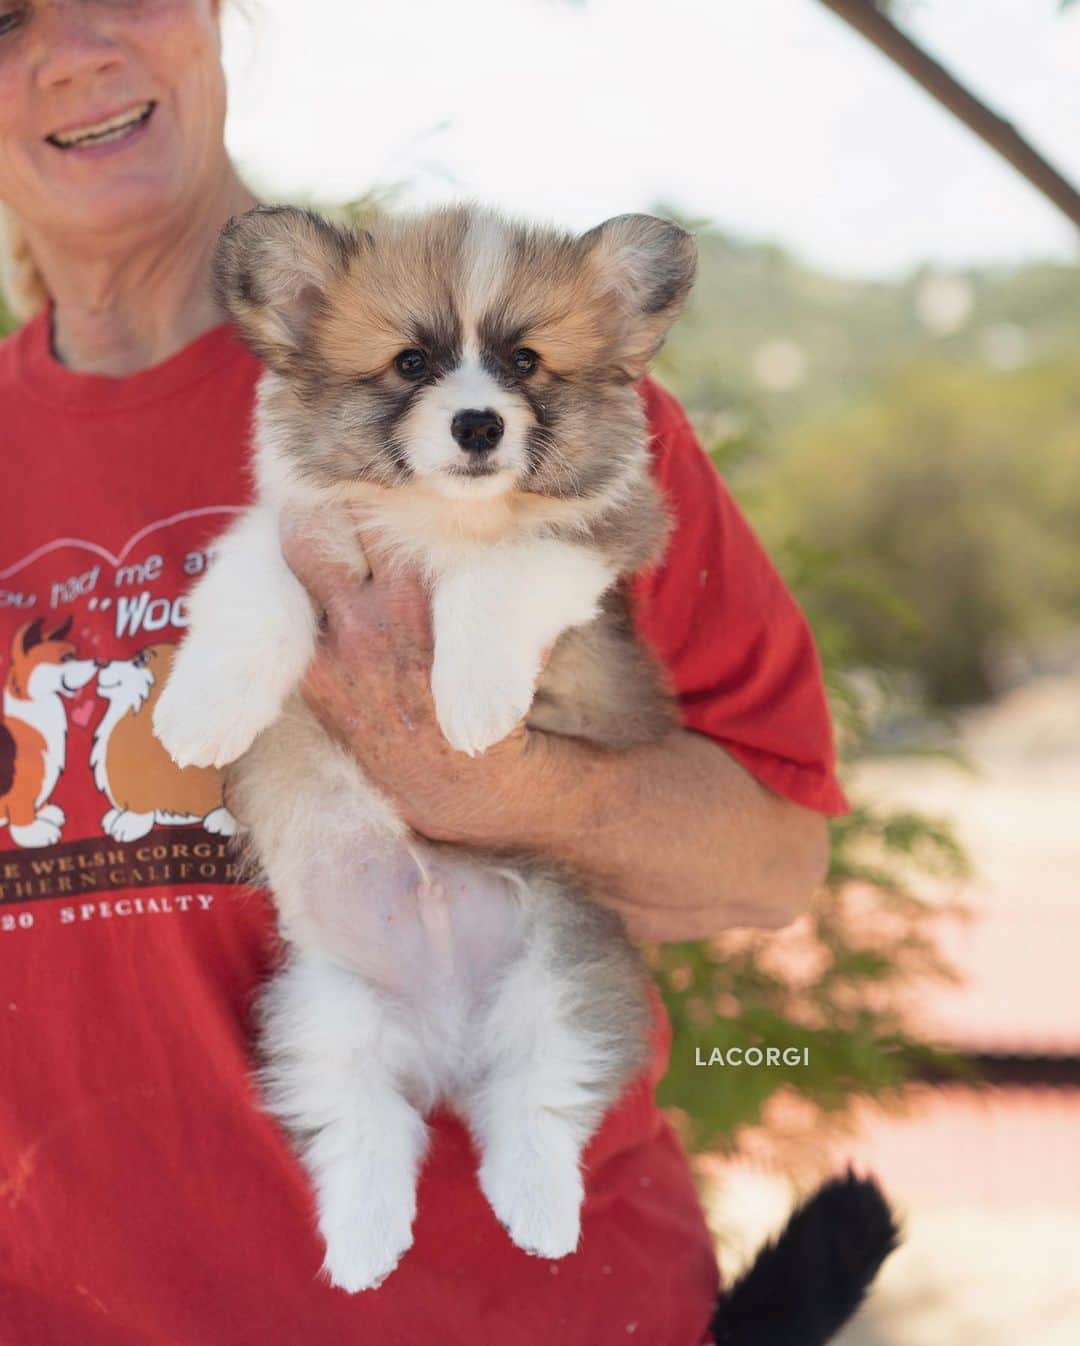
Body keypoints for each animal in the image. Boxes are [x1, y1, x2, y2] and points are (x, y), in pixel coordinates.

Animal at [0, 616, 97, 845]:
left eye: (75, 652)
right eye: (66, 657)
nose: (100, 662)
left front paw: (47, 813)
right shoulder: (23, 788)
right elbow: (23, 814)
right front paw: (36, 832)